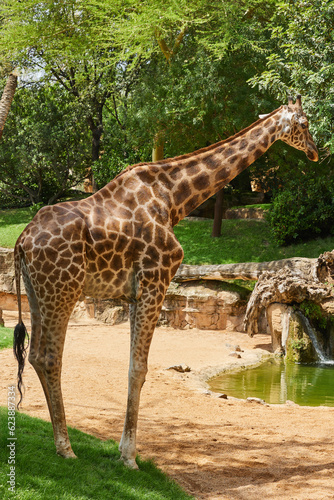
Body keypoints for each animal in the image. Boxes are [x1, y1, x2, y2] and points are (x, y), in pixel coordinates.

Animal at [12, 94, 316, 468]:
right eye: (304, 123)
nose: (316, 152)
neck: (173, 200)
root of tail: (22, 240)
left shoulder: (135, 292)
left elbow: (133, 365)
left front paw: (123, 451)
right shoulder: (156, 281)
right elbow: (139, 369)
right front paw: (129, 457)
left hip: (37, 292)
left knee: (35, 356)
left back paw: (60, 443)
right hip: (63, 290)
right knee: (50, 357)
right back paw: (66, 448)